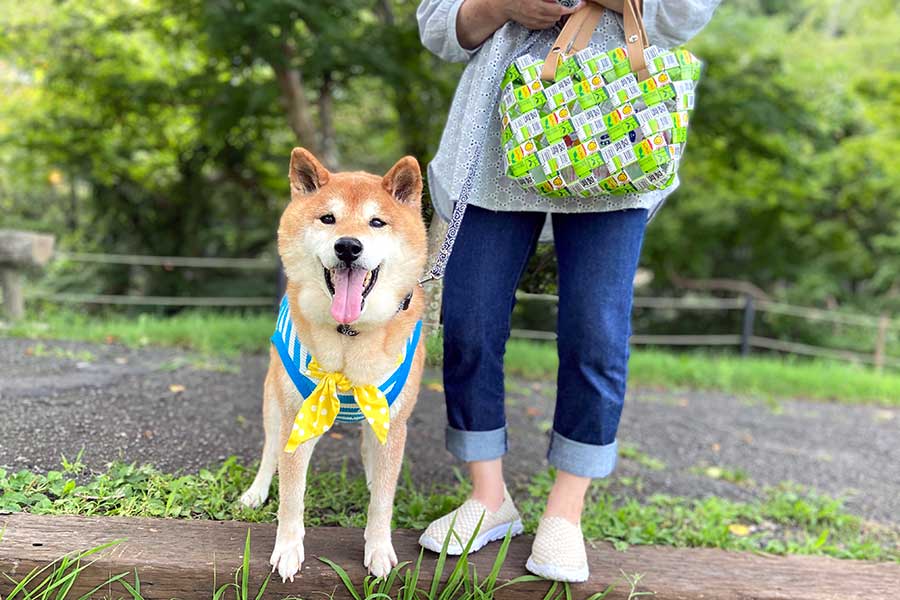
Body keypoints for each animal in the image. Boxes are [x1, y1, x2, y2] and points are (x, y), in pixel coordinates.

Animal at [241, 146, 428, 580]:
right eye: (328, 218)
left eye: (377, 222)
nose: (348, 246)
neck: (349, 335)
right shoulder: (296, 417)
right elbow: (291, 495)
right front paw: (287, 549)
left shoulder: (392, 423)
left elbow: (383, 500)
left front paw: (378, 547)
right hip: (274, 403)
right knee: (270, 451)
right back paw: (256, 491)